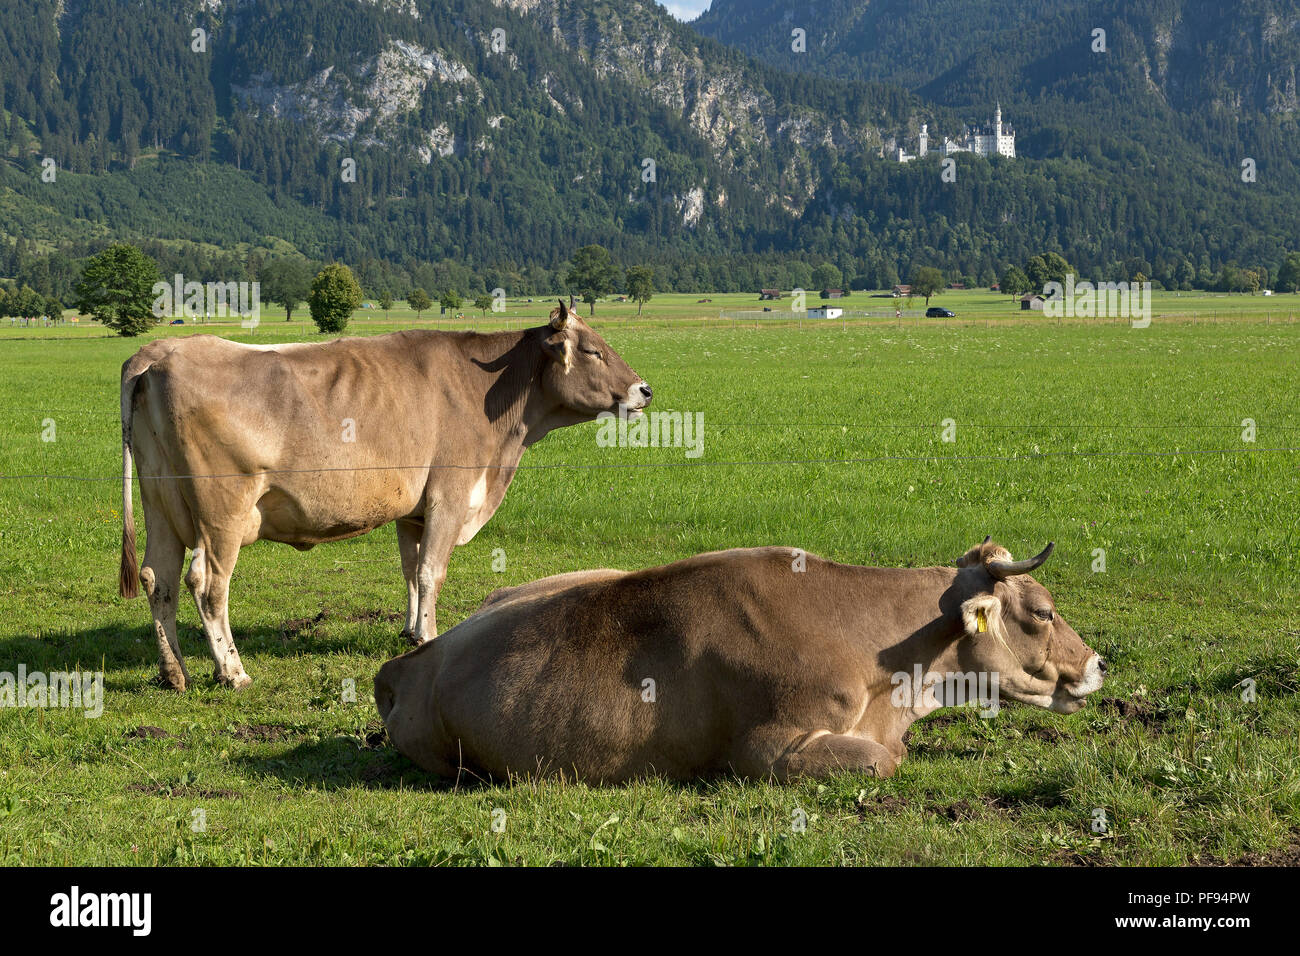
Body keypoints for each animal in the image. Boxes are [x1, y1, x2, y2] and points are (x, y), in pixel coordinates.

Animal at [120, 299, 650, 686]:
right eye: (594, 351)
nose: (644, 389)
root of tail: (159, 352)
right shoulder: (449, 497)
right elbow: (432, 572)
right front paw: (430, 637)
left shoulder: (413, 510)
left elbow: (412, 572)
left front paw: (411, 632)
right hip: (222, 514)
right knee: (207, 584)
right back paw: (233, 672)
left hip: (160, 505)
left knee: (158, 578)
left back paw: (175, 673)